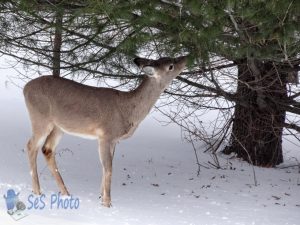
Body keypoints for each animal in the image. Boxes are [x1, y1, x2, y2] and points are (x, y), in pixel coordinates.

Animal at [23, 55, 186, 207]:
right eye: (171, 66)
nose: (185, 58)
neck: (129, 110)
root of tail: (25, 88)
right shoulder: (106, 135)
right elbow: (109, 169)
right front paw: (107, 203)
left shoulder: (114, 140)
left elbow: (104, 167)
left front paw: (101, 198)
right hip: (40, 118)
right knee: (31, 146)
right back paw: (37, 191)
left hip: (59, 127)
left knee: (47, 149)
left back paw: (65, 193)